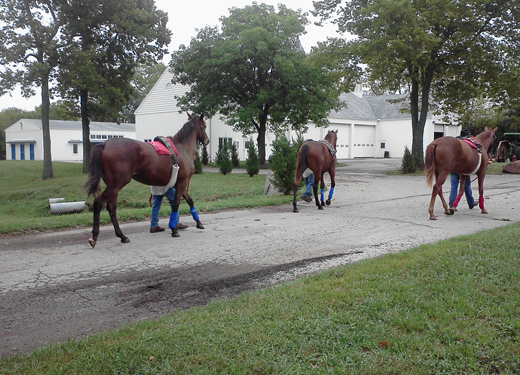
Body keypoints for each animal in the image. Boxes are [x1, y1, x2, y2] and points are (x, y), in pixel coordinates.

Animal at [84, 114, 208, 250]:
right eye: (204, 126)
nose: (207, 140)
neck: (182, 148)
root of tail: (105, 144)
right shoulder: (182, 183)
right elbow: (176, 205)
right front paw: (174, 230)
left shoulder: (179, 184)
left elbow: (190, 201)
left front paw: (199, 223)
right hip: (116, 184)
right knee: (99, 203)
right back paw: (94, 237)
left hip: (113, 186)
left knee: (111, 208)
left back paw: (122, 236)